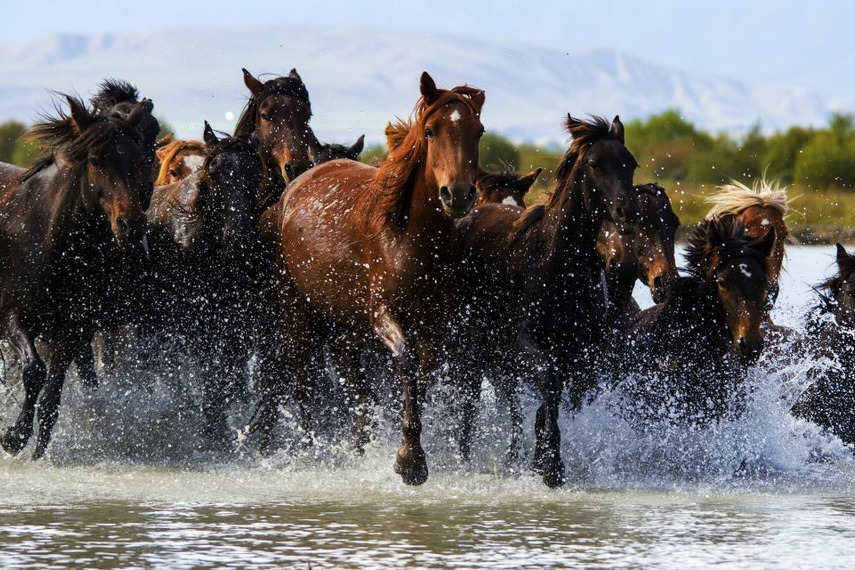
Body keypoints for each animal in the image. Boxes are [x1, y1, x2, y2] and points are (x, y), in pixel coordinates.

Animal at [0, 95, 151, 458]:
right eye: (96, 160)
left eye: (138, 158)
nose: (131, 224)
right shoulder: (11, 317)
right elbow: (34, 371)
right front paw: (14, 437)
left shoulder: (70, 329)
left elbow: (51, 399)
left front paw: (37, 452)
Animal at [144, 122, 263, 440]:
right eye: (215, 172)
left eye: (256, 173)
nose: (238, 238)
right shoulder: (197, 323)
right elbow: (208, 370)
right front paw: (212, 425)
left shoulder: (233, 323)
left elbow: (227, 374)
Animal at [254, 72, 484, 486]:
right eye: (430, 131)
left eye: (479, 131)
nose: (458, 195)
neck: (409, 240)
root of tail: (293, 188)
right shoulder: (383, 315)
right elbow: (407, 361)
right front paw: (410, 460)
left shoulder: (435, 322)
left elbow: (423, 374)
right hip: (297, 312)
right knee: (303, 379)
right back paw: (311, 451)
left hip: (346, 323)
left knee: (350, 374)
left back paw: (358, 438)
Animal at [454, 114, 639, 487]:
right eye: (594, 163)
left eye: (631, 163)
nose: (627, 212)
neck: (557, 267)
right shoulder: (522, 343)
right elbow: (548, 381)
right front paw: (552, 465)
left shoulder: (581, 355)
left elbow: (554, 400)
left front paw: (541, 459)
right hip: (474, 350)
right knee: (470, 402)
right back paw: (466, 458)